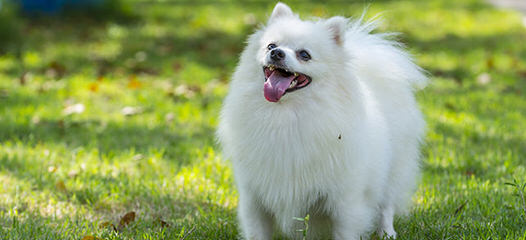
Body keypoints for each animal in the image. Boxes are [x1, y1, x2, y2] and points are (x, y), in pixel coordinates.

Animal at [219, 2, 428, 239]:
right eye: (271, 45)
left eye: (305, 54)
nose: (276, 53)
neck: (285, 115)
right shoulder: (255, 197)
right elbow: (258, 231)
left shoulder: (345, 201)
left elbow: (345, 230)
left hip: (393, 169)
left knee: (386, 205)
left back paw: (387, 232)